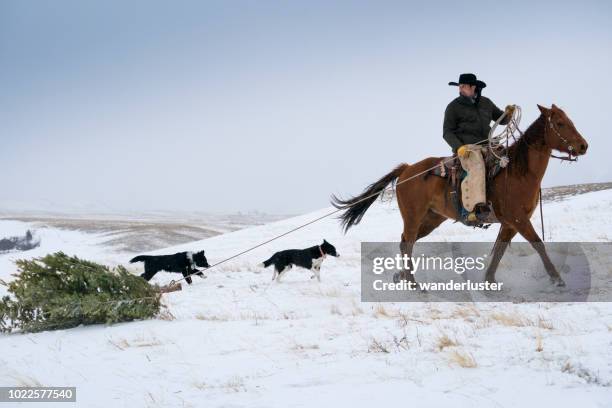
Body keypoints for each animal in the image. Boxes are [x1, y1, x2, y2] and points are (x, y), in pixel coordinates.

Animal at [332, 103, 592, 286]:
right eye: (559, 123)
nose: (583, 146)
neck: (518, 171)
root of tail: (407, 169)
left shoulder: (509, 223)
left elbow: (498, 251)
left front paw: (488, 281)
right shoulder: (518, 219)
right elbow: (538, 244)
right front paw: (557, 279)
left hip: (432, 218)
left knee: (406, 241)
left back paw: (402, 276)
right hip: (414, 216)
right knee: (407, 242)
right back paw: (413, 283)